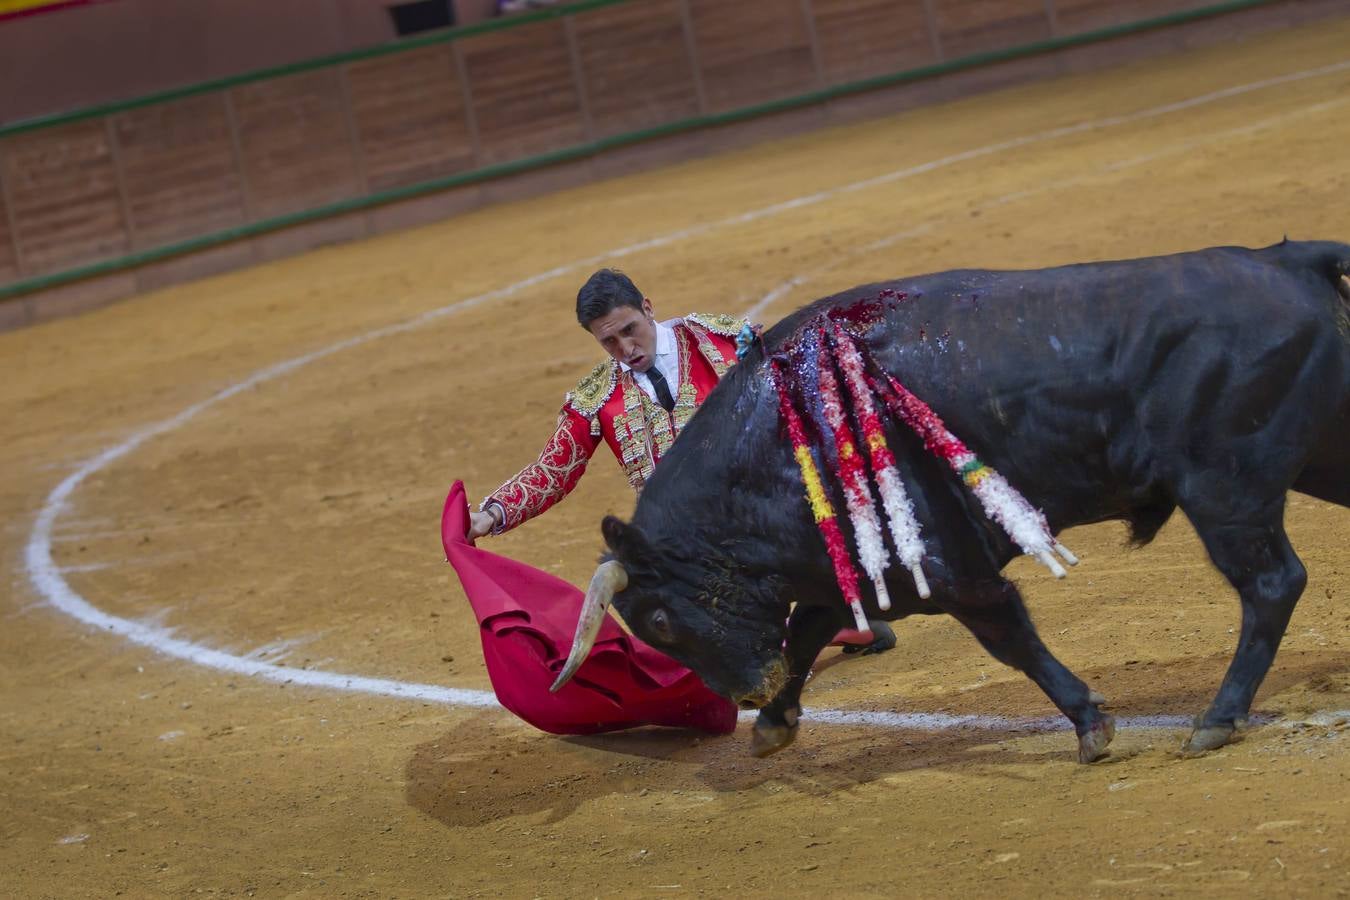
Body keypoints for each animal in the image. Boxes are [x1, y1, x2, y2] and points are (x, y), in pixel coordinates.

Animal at [553, 238, 1344, 761]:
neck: (778, 438)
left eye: (658, 618)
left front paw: (1091, 726)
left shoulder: (947, 570)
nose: (747, 695)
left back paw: (1217, 718)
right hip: (1318, 458)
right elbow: (805, 631)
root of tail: (1287, 259)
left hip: (1224, 493)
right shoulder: (854, 569)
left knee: (1271, 584)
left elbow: (1010, 637)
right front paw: (776, 724)